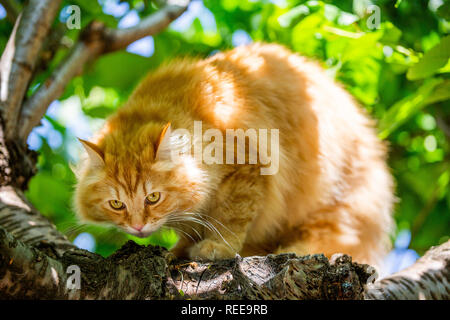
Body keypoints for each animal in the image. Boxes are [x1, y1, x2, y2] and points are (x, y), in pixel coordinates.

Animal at [74, 43, 394, 268]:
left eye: (153, 198)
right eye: (117, 204)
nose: (137, 227)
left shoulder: (247, 170)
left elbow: (231, 218)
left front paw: (218, 248)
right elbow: (189, 232)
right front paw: (176, 253)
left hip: (336, 207)